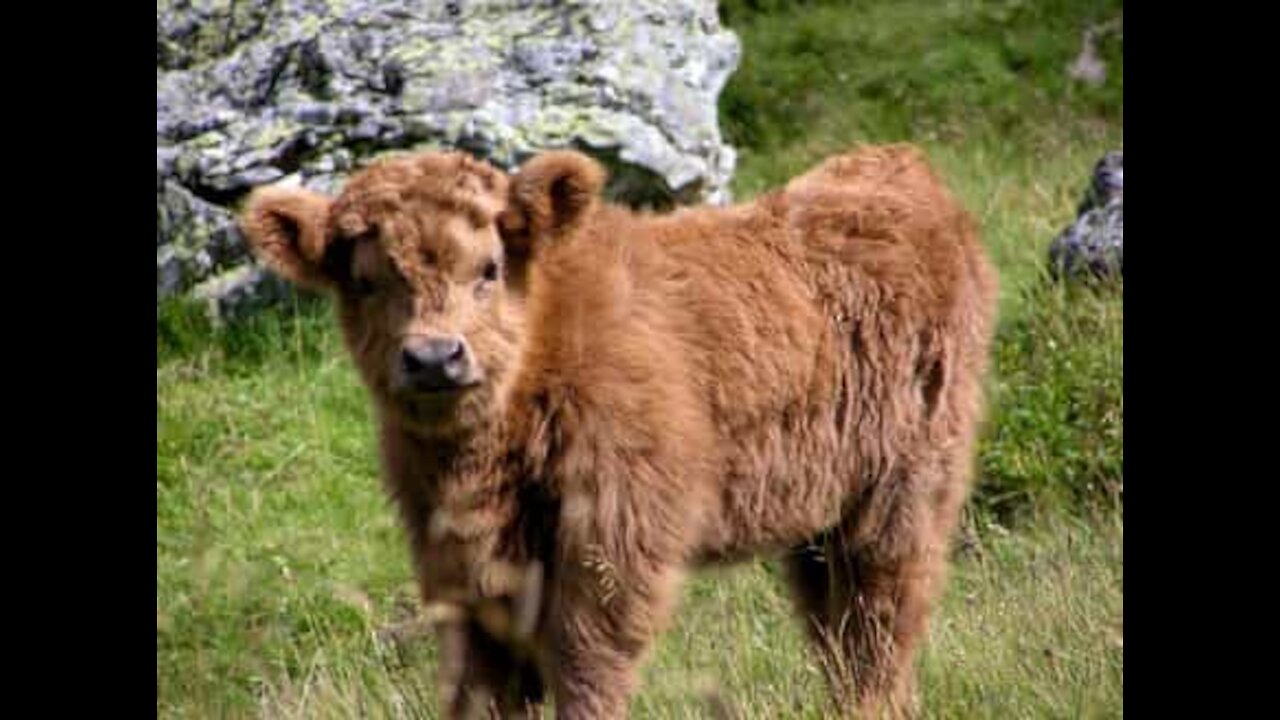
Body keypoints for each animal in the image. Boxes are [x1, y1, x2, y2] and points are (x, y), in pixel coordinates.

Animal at [240, 142, 998, 712]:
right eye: (365, 281)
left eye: (489, 268)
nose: (433, 357)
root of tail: (895, 164)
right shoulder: (457, 568)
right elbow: (483, 685)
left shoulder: (613, 543)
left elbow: (586, 667)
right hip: (820, 519)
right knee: (835, 631)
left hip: (905, 491)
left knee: (881, 627)